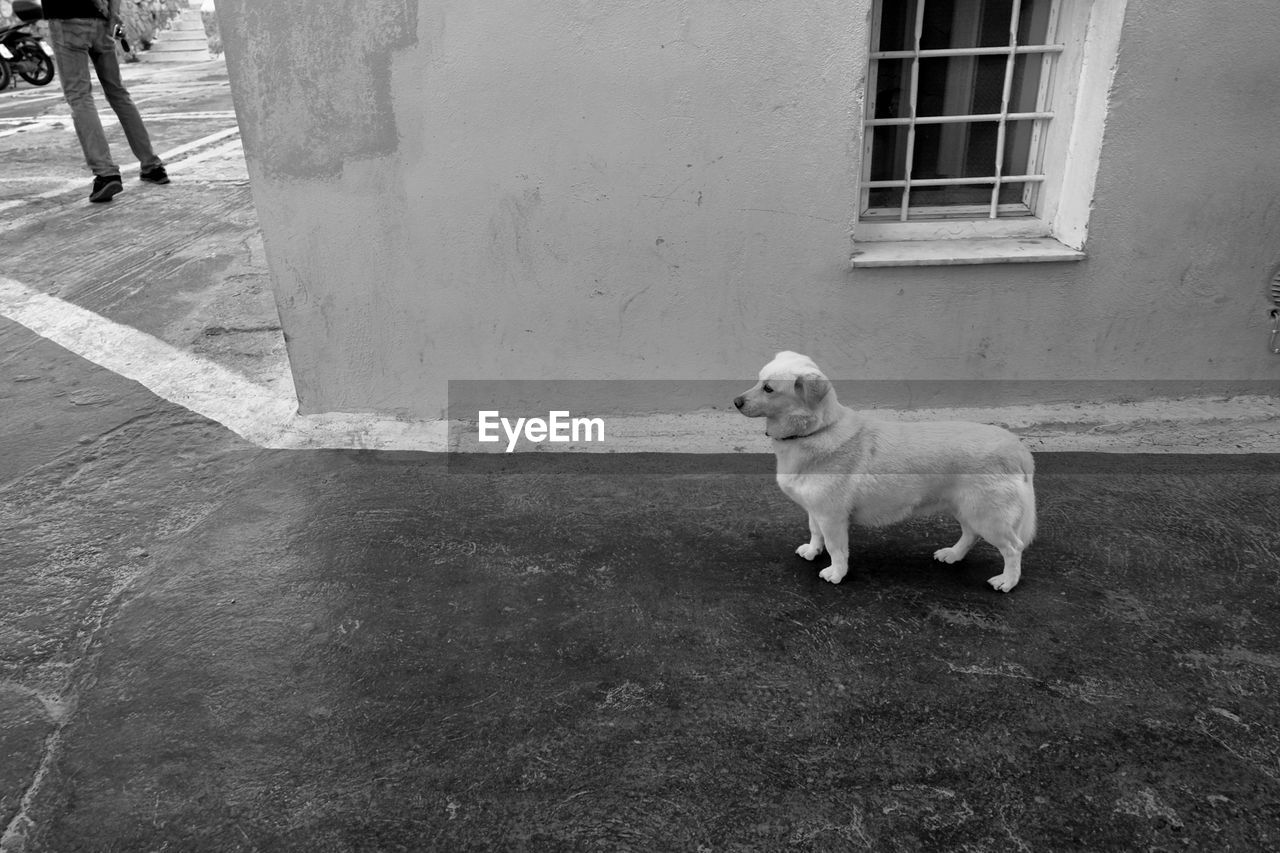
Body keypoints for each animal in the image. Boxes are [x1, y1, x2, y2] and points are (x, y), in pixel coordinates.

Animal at [737, 348, 1034, 589]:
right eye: (758, 380)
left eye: (768, 389)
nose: (736, 402)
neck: (815, 430)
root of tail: (1017, 448)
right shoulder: (815, 510)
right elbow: (815, 532)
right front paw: (812, 551)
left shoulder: (832, 516)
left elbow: (836, 548)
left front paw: (836, 573)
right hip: (966, 508)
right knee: (971, 535)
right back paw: (952, 554)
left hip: (987, 515)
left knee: (1013, 548)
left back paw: (1007, 581)